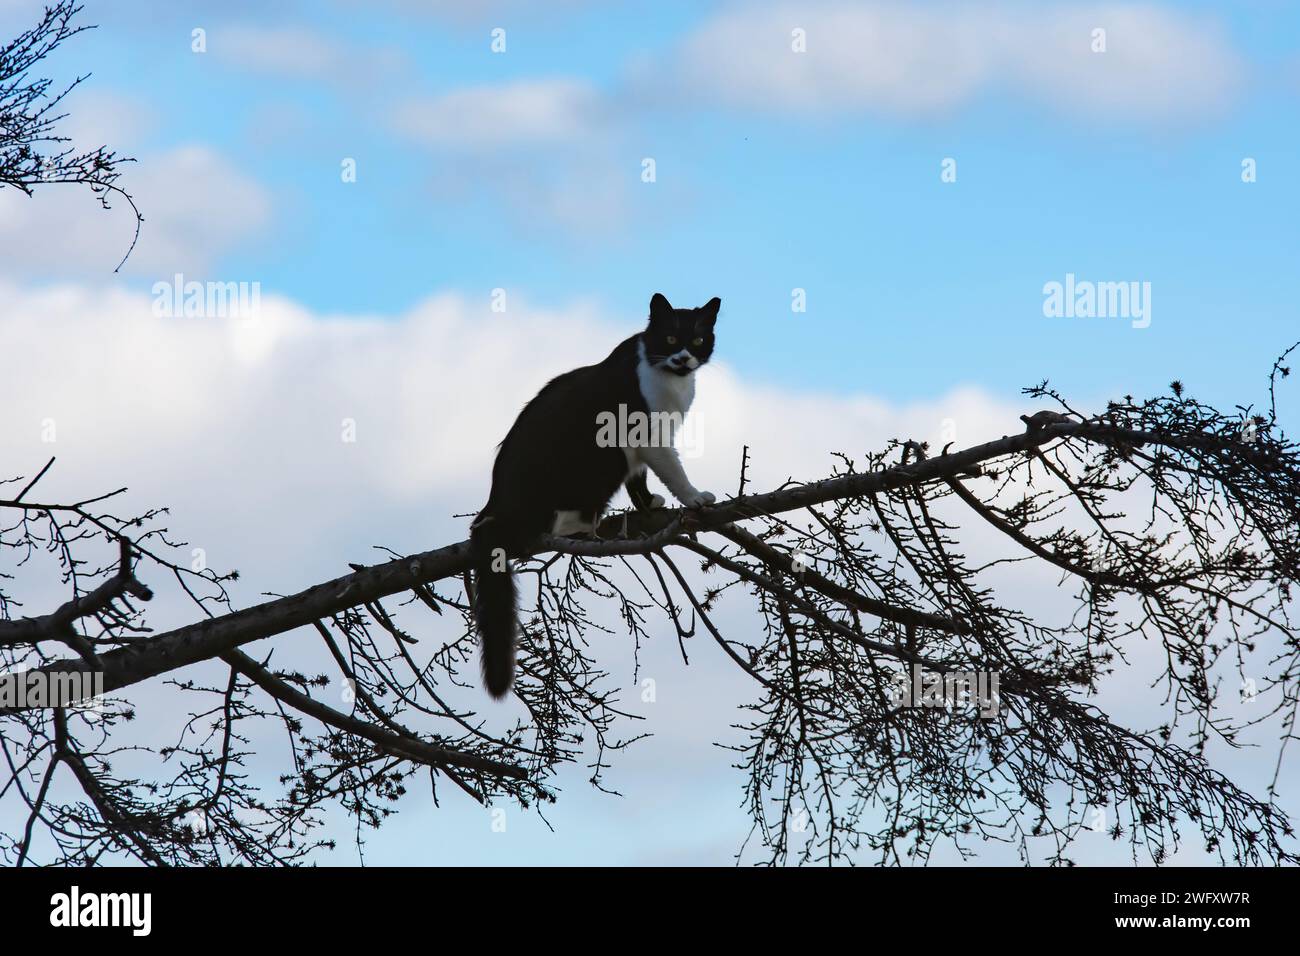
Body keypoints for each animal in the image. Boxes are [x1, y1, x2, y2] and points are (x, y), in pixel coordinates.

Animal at [473, 291, 728, 697]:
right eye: (671, 338)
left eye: (699, 340)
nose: (684, 358)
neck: (671, 381)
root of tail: (493, 507)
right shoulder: (646, 434)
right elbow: (672, 471)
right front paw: (693, 497)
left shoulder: (641, 452)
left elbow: (639, 481)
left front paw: (649, 502)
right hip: (601, 453)